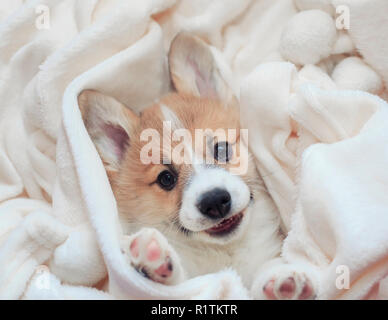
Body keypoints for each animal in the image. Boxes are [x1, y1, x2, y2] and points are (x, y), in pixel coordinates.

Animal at [77, 32, 316, 300]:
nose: (214, 201)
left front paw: (283, 281)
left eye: (221, 149)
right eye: (166, 178)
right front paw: (151, 262)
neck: (225, 254)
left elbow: (267, 270)